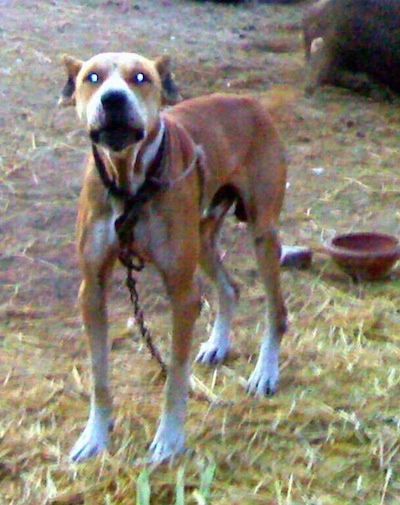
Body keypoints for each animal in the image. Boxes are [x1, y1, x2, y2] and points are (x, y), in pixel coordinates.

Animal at [59, 50, 288, 460]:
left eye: (140, 77)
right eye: (92, 77)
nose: (112, 99)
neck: (129, 183)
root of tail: (250, 103)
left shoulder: (182, 295)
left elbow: (175, 377)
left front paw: (168, 439)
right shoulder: (92, 291)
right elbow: (100, 374)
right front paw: (95, 436)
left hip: (263, 234)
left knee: (275, 311)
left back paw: (265, 373)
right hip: (202, 237)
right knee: (230, 288)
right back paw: (218, 345)